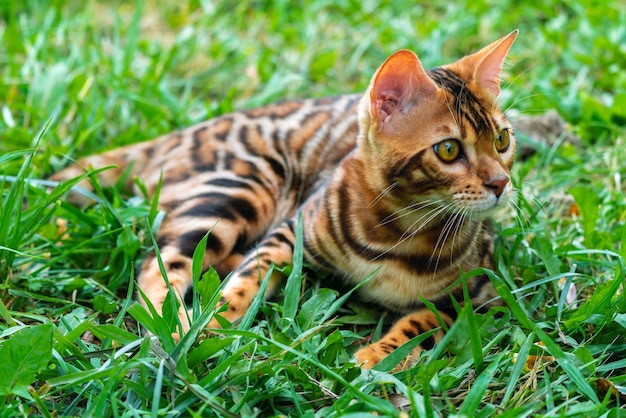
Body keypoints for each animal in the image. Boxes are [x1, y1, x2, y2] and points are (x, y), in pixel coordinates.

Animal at [52, 30, 516, 370]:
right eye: (449, 150)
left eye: (502, 140)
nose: (501, 183)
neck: (399, 232)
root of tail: (180, 133)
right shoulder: (291, 232)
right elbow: (246, 281)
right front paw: (206, 325)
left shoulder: (483, 292)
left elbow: (425, 320)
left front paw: (379, 354)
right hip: (242, 186)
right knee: (159, 267)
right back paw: (168, 320)